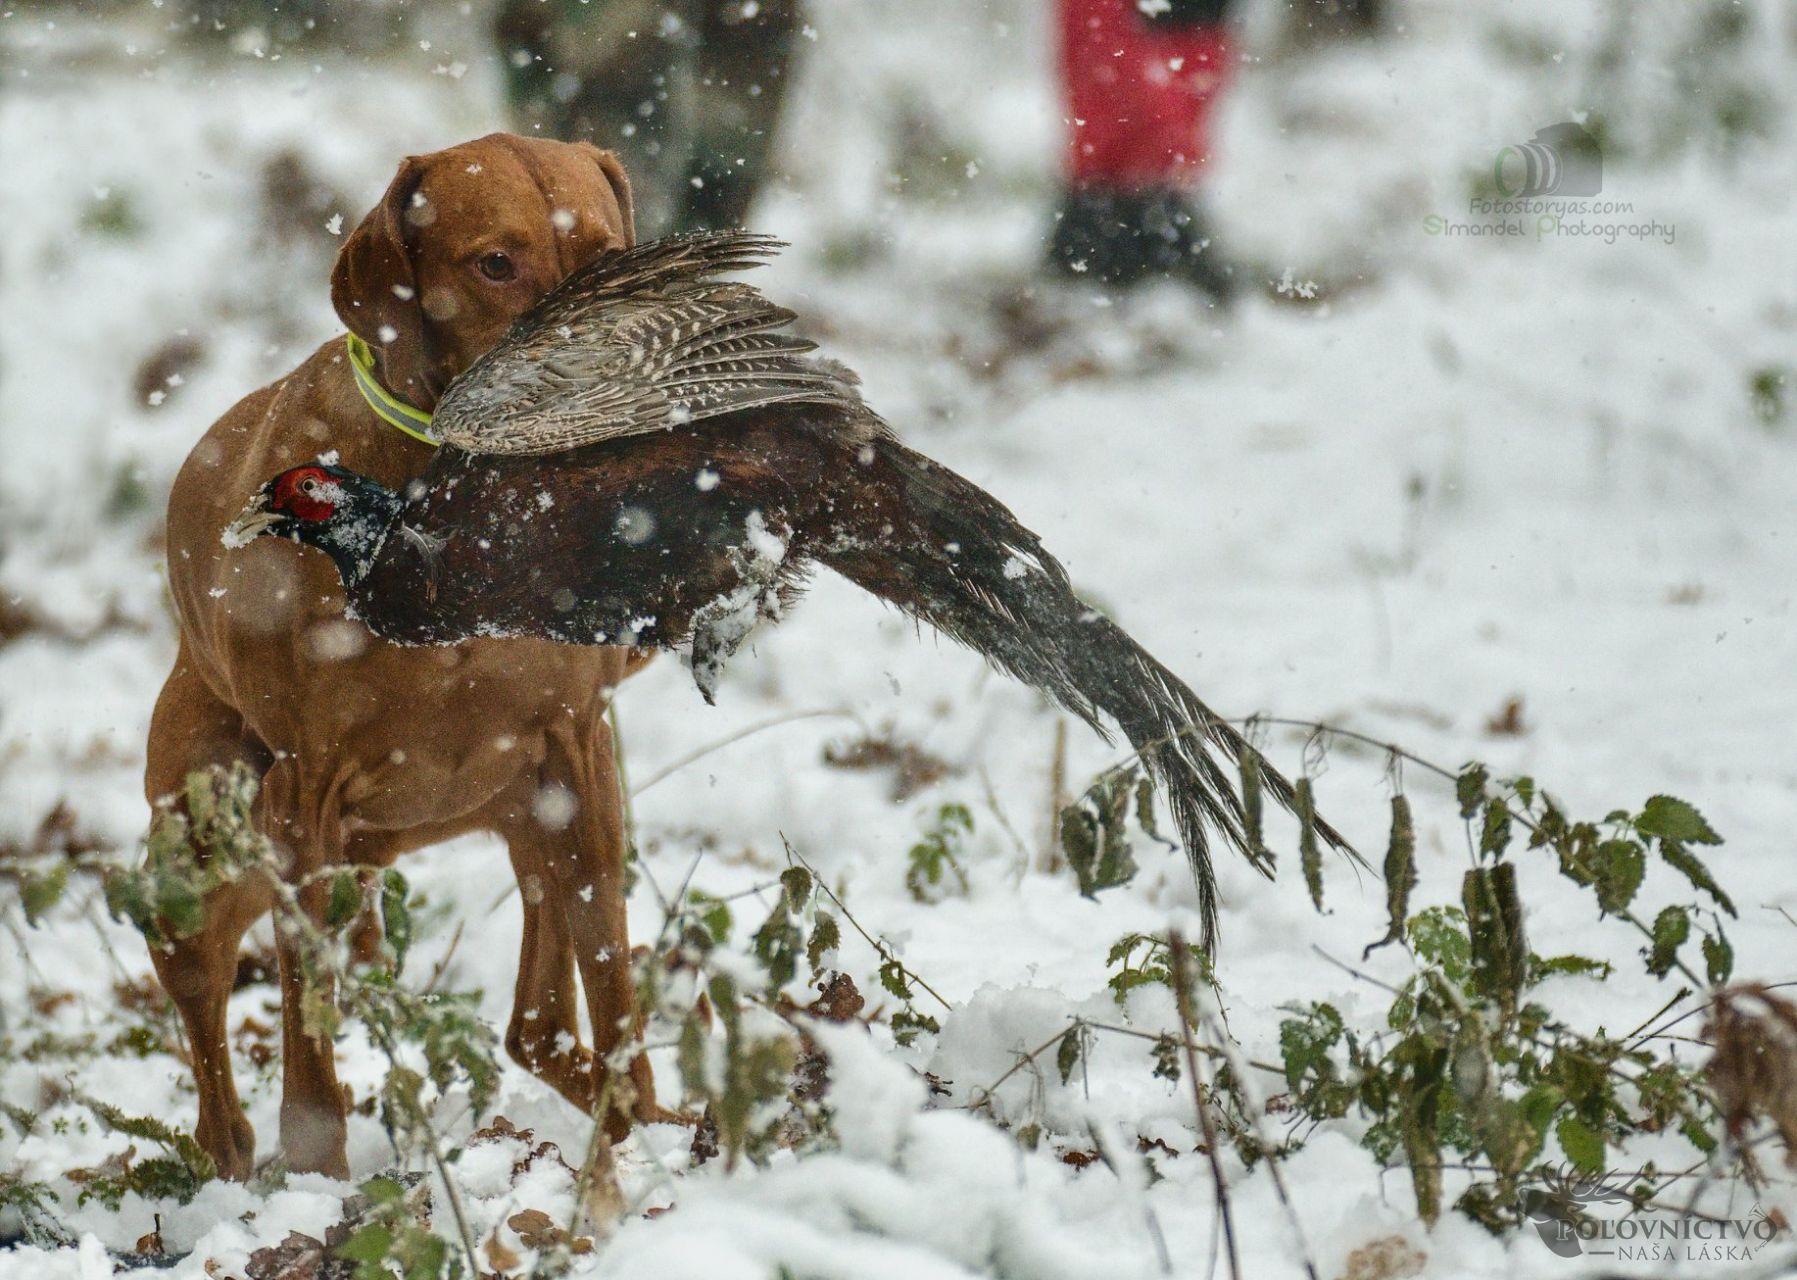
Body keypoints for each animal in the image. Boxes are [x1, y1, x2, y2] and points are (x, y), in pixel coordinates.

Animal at [146, 133, 663, 1180]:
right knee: (202, 992)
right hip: (210, 830)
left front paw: (652, 1138)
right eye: (495, 264)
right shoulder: (303, 795)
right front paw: (319, 1182)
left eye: (603, 254)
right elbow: (306, 1036)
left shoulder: (577, 750)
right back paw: (227, 1154)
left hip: (514, 803)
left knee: (536, 1023)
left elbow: (609, 976)